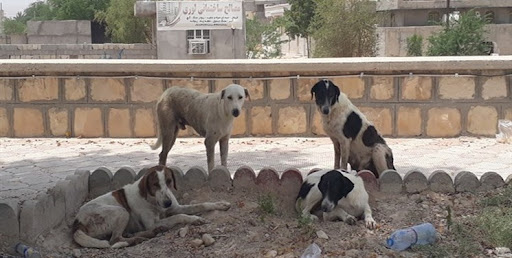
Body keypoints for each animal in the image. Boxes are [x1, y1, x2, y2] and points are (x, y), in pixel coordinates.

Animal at [72, 165, 230, 248]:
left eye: (169, 181)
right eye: (155, 185)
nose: (167, 203)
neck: (153, 200)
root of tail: (77, 222)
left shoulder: (175, 208)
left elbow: (201, 205)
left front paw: (220, 204)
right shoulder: (153, 222)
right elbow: (180, 216)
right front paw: (195, 219)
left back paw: (144, 234)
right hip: (121, 211)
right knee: (114, 240)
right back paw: (140, 238)